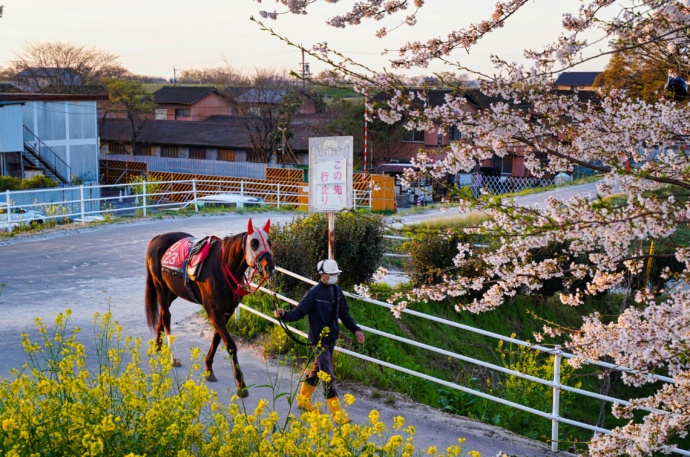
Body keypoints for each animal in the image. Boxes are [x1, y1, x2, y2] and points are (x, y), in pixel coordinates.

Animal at [144, 217, 274, 396]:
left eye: (269, 242)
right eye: (254, 243)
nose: (270, 267)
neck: (222, 268)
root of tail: (157, 238)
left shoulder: (226, 312)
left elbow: (217, 339)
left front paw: (208, 369)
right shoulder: (213, 312)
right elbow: (231, 345)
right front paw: (241, 385)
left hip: (172, 291)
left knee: (163, 316)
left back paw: (158, 345)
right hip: (161, 288)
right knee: (166, 317)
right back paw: (173, 357)